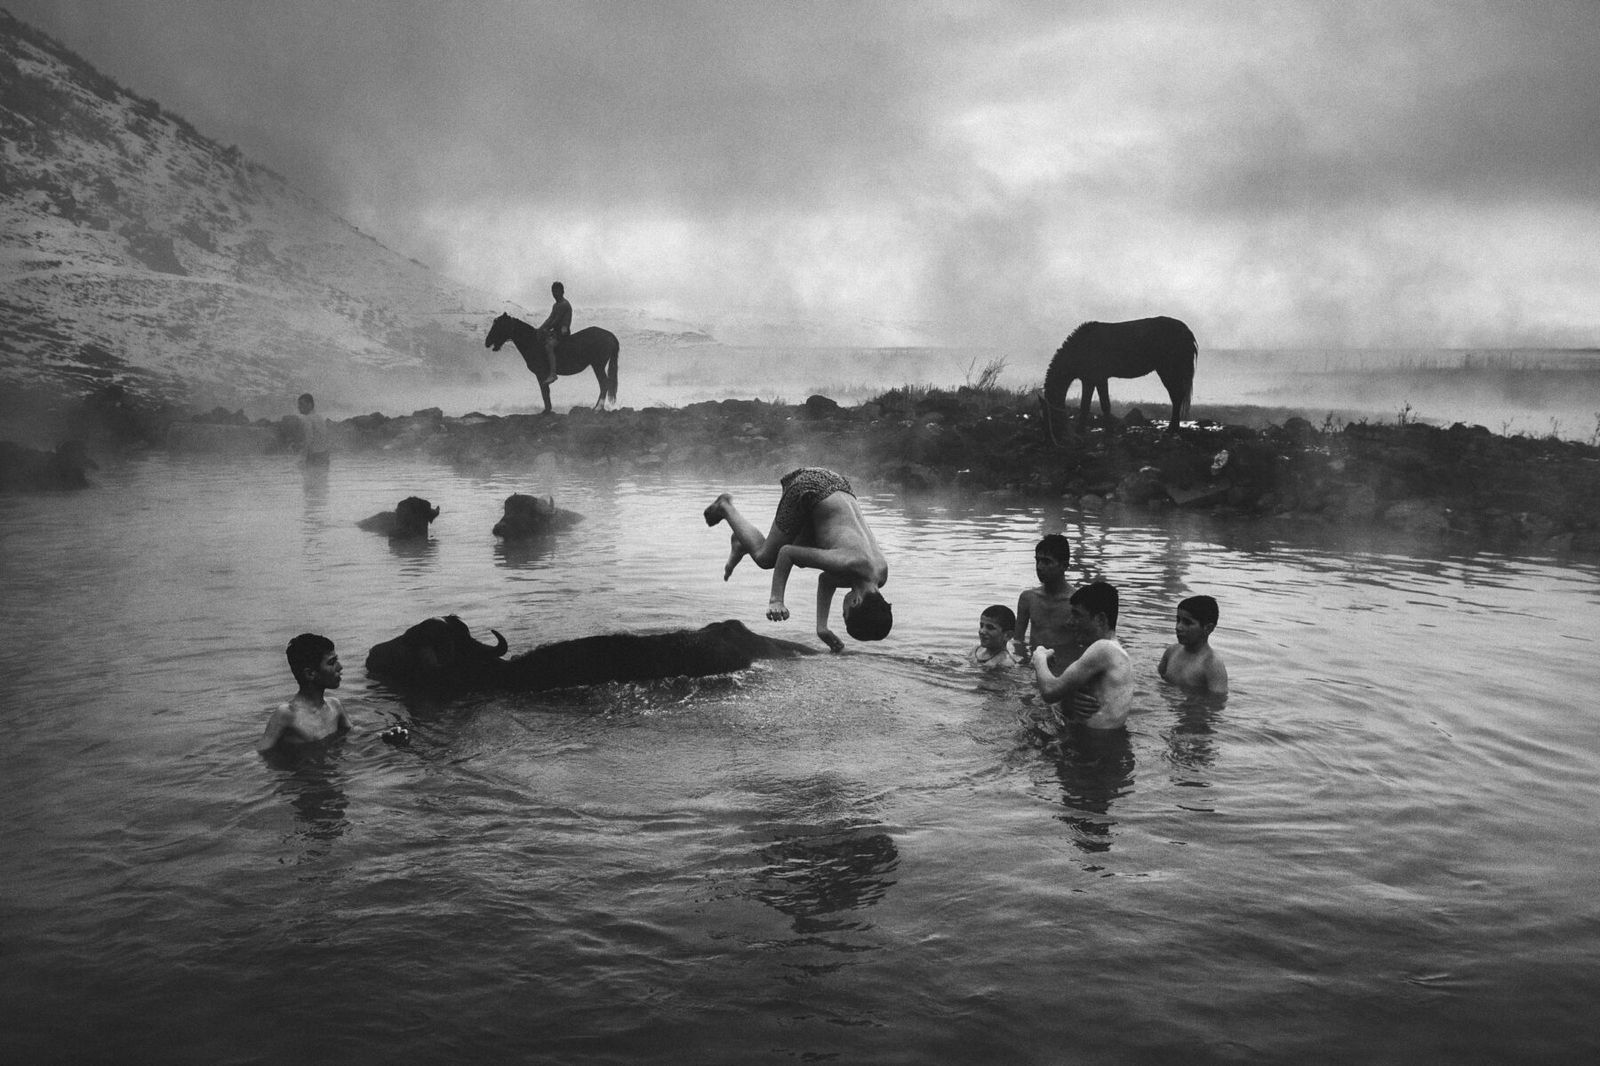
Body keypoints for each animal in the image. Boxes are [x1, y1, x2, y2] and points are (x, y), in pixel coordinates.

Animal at [480, 312, 617, 409]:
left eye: (499, 326)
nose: (487, 342)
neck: (533, 342)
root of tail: (610, 335)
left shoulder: (540, 374)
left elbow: (544, 392)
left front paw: (547, 410)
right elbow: (546, 391)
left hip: (598, 365)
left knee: (604, 383)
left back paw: (598, 408)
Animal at [1043, 313, 1196, 435]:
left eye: (1048, 415)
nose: (1049, 435)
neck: (1081, 347)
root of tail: (1186, 331)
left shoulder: (1099, 378)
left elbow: (1104, 405)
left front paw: (1107, 431)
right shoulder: (1089, 380)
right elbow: (1085, 405)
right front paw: (1082, 430)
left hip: (1168, 370)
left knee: (1176, 396)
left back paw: (1171, 429)